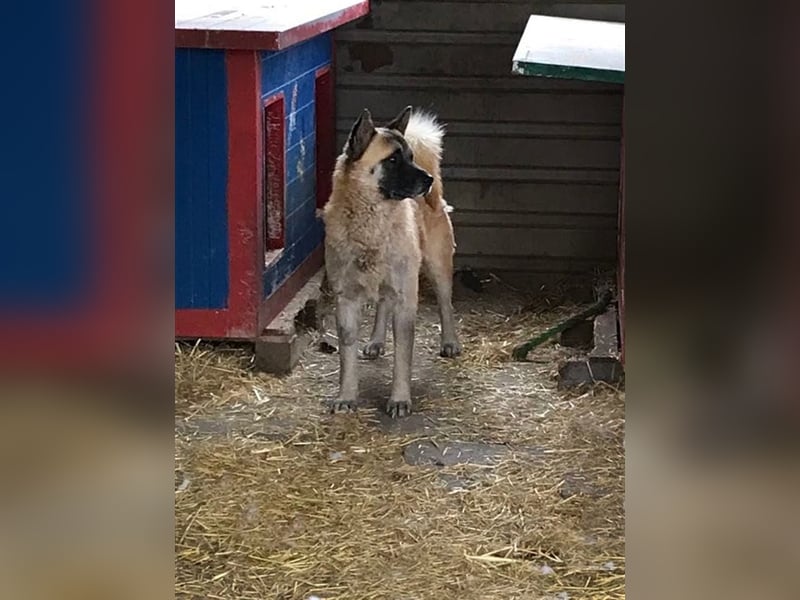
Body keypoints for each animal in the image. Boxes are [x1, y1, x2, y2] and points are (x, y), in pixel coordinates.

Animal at [320, 106, 460, 418]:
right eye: (393, 160)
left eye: (410, 157)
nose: (428, 180)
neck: (371, 224)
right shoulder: (345, 300)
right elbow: (346, 357)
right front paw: (346, 396)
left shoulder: (406, 299)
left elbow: (403, 359)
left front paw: (399, 399)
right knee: (383, 305)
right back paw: (375, 340)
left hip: (437, 268)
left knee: (446, 305)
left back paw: (450, 342)